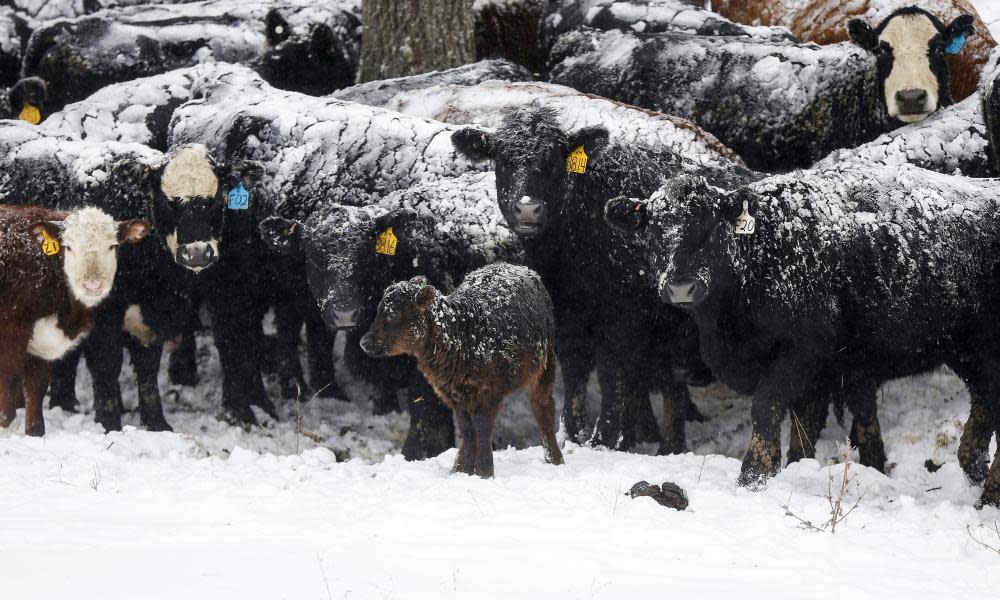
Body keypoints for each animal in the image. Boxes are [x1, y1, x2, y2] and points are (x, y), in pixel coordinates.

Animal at [0, 204, 150, 434]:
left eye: (112, 246)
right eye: (68, 247)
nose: (92, 286)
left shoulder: (43, 343)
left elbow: (36, 387)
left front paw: (35, 433)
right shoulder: (10, 332)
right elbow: (9, 383)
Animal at [454, 104, 752, 450]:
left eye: (554, 161)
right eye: (503, 161)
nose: (528, 209)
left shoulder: (622, 323)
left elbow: (612, 379)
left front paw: (604, 439)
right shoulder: (569, 324)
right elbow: (576, 382)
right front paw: (572, 436)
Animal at [604, 163, 1000, 506]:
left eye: (712, 229)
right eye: (653, 230)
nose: (681, 286)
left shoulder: (801, 355)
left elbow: (766, 408)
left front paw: (754, 477)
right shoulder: (818, 375)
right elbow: (804, 427)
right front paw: (794, 468)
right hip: (965, 353)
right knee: (984, 401)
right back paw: (973, 469)